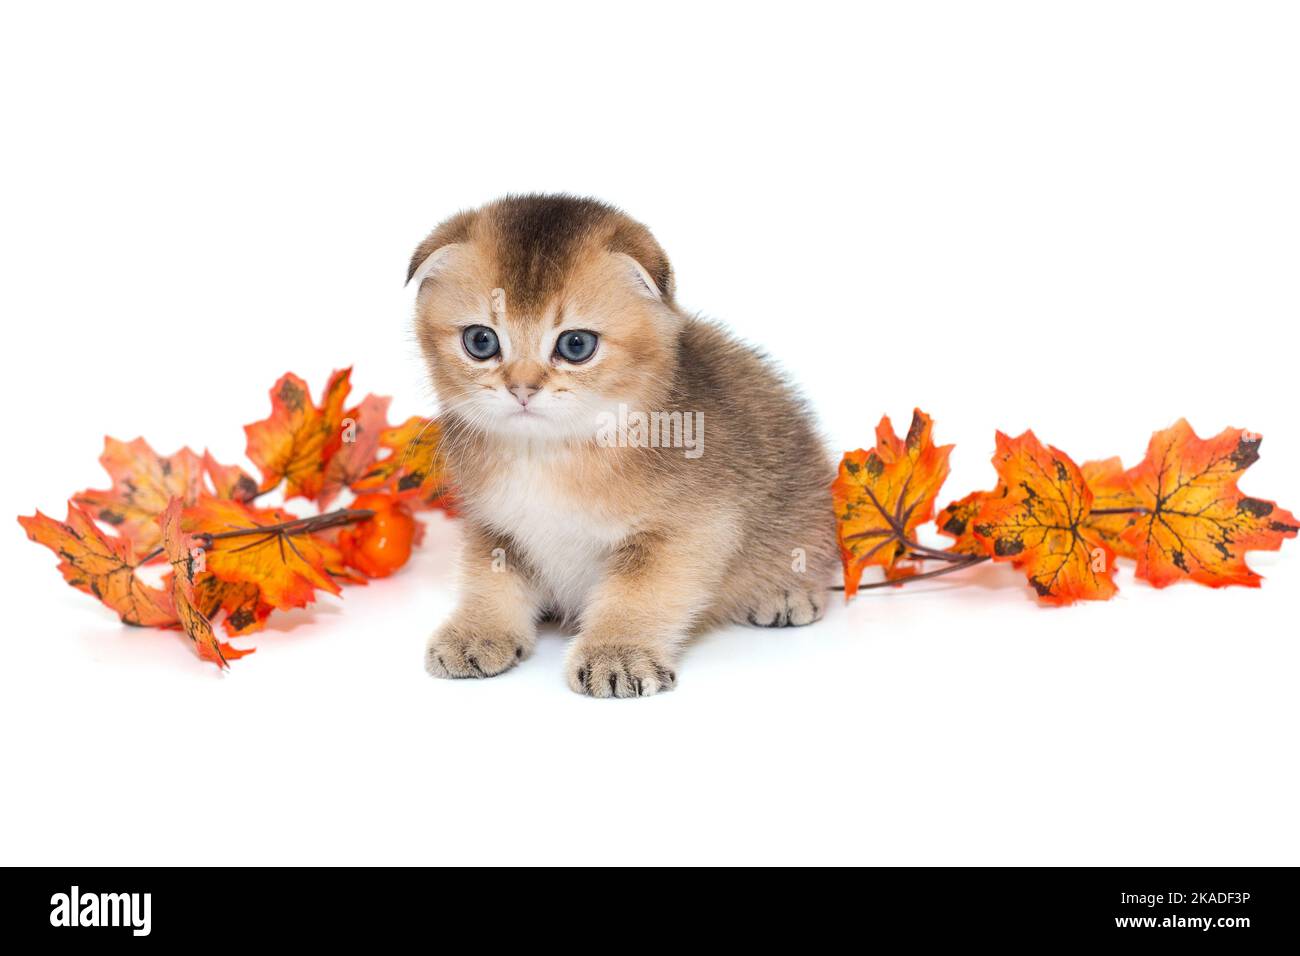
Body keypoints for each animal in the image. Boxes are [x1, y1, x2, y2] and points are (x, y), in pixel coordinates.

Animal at [408, 192, 832, 697]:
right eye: (480, 340)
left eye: (575, 345)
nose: (522, 388)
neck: (548, 455)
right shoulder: (492, 524)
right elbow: (486, 580)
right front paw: (478, 631)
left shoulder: (688, 529)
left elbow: (638, 595)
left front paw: (618, 652)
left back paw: (785, 591)